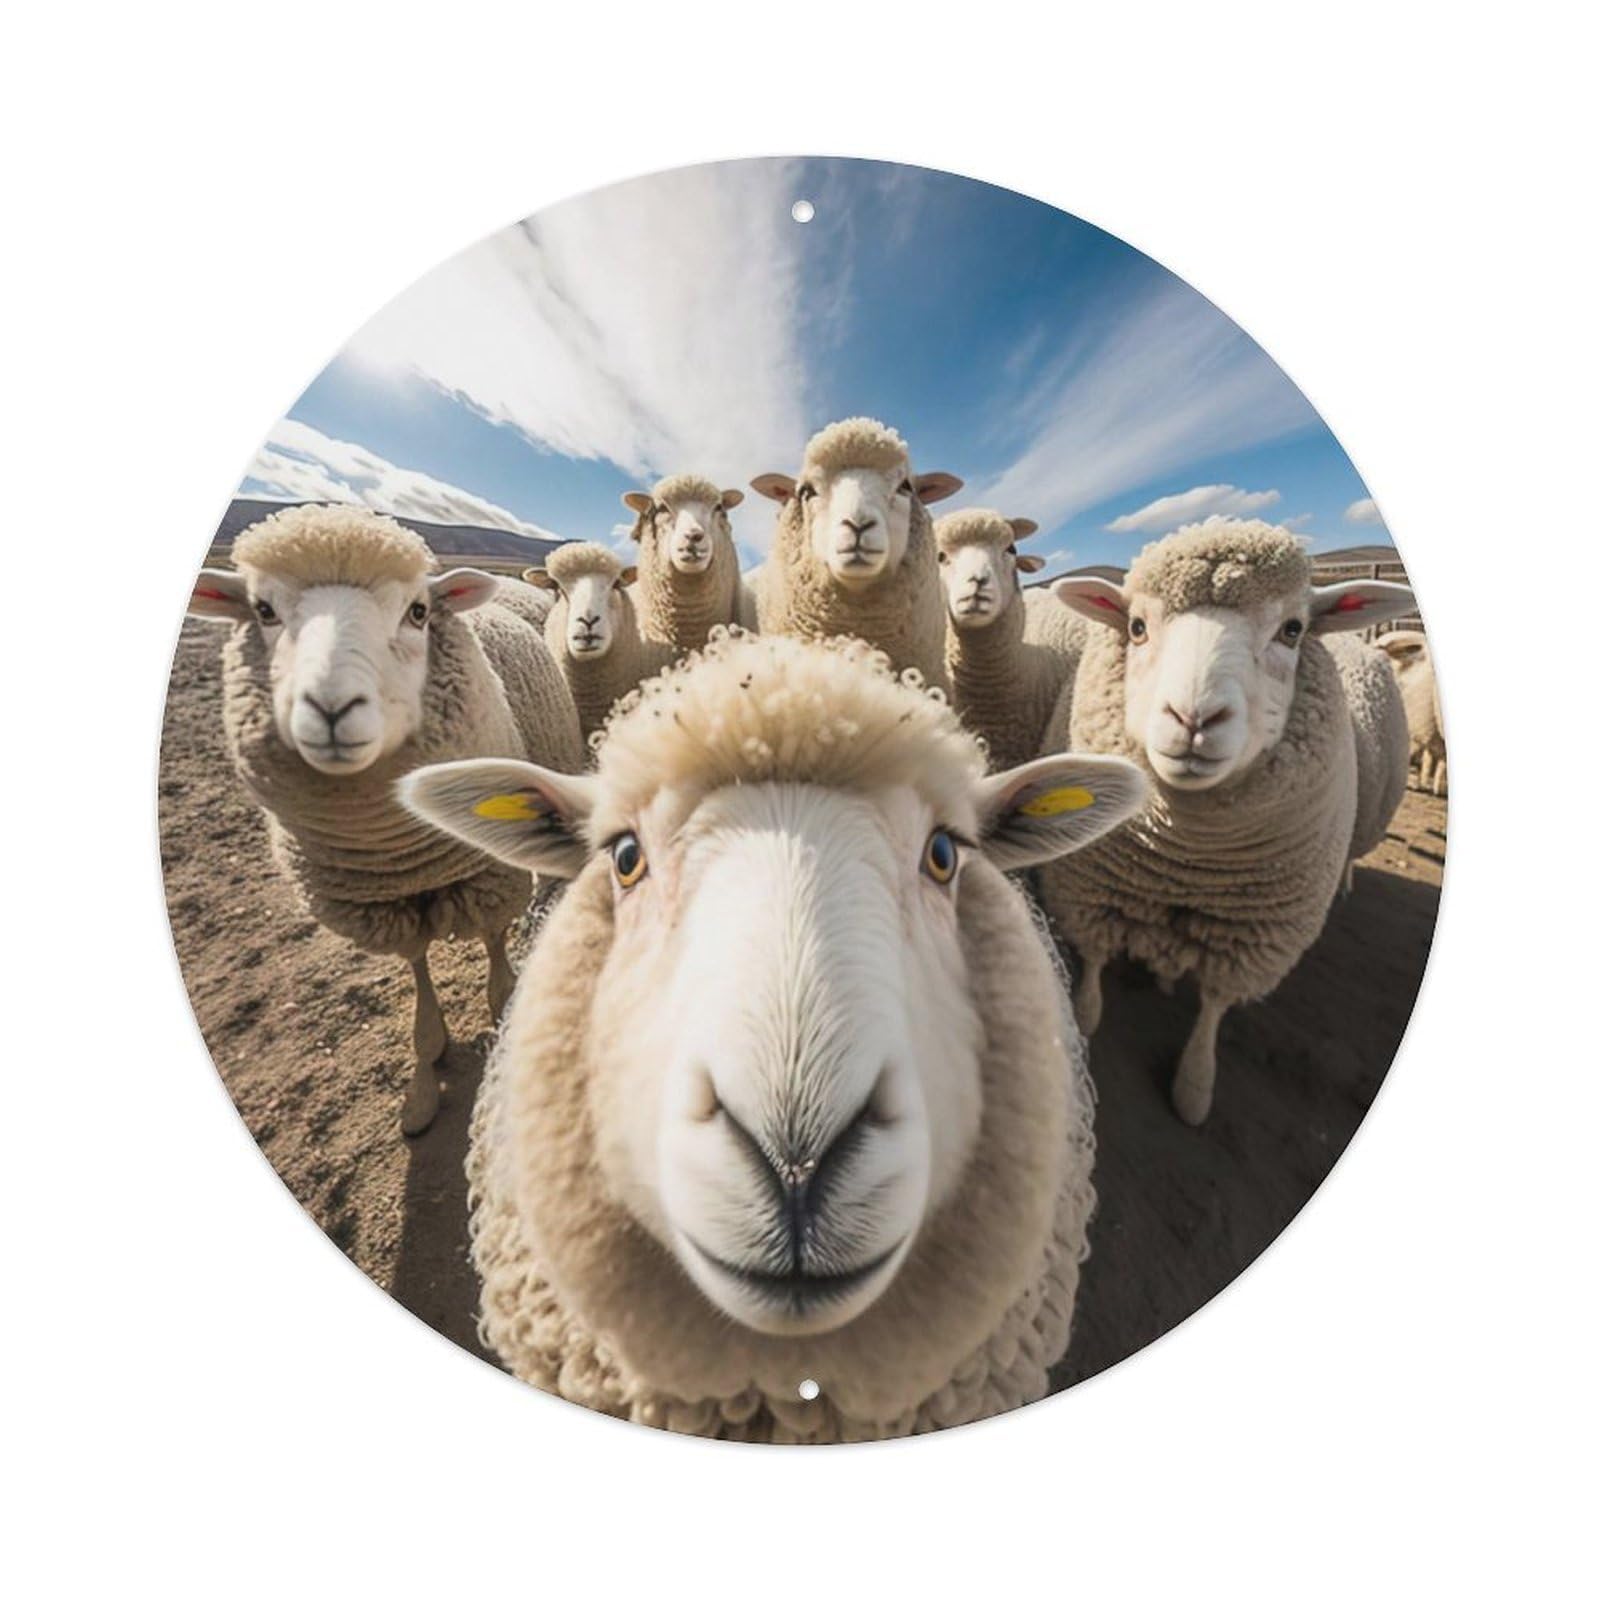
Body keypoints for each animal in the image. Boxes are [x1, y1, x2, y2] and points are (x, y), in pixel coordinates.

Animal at [186, 504, 584, 1135]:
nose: (331, 709)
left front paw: (503, 1005)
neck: (401, 855)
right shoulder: (383, 908)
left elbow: (496, 950)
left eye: (417, 612)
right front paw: (424, 1082)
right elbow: (418, 982)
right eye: (263, 610)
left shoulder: (490, 875)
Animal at [1042, 518, 1416, 1126]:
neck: (1186, 860)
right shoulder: (1088, 891)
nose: (1194, 718)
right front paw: (1085, 1017)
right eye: (1137, 627)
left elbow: (1214, 1009)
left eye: (1292, 630)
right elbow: (1094, 963)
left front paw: (1194, 1089)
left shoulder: (1251, 940)